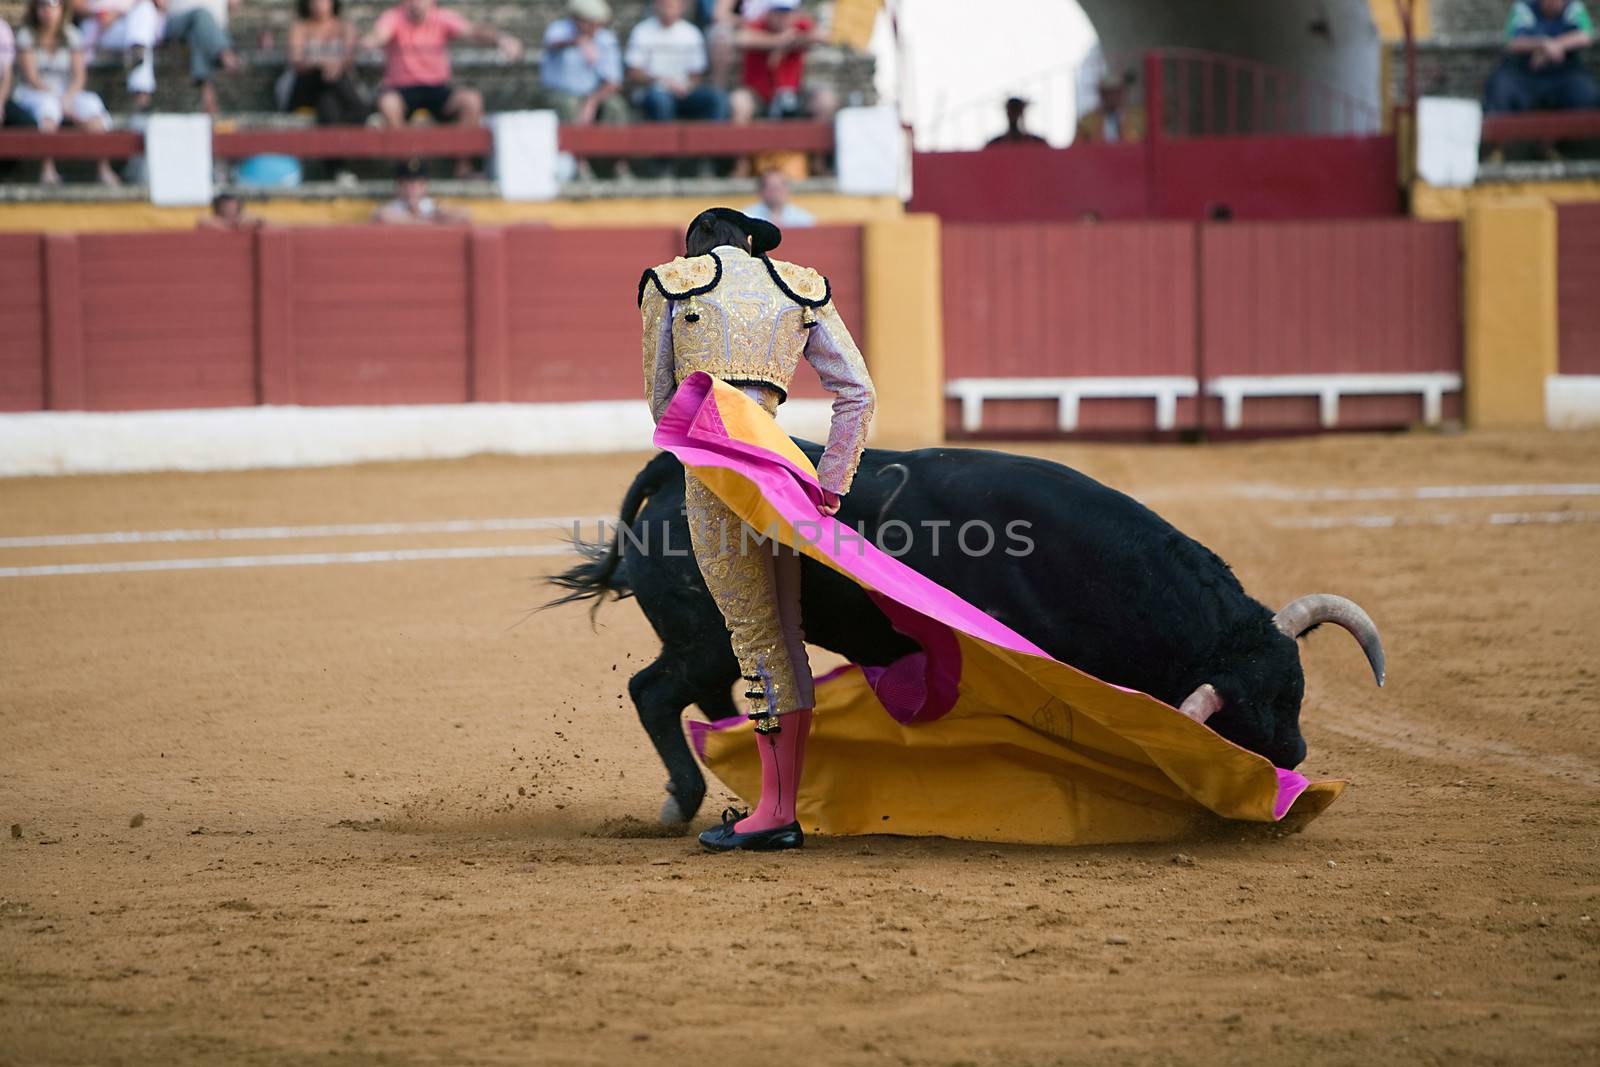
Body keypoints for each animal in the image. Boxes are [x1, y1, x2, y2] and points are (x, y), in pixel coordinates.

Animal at [544, 441, 1382, 825]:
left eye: (1297, 691)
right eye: (1246, 725)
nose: (1294, 757)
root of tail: (670, 472)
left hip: (710, 646)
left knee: (704, 699)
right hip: (703, 638)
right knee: (654, 692)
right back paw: (681, 801)